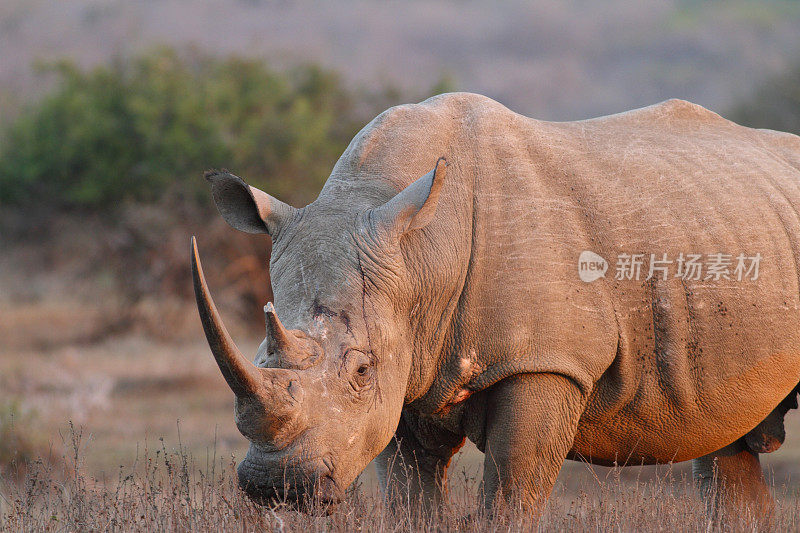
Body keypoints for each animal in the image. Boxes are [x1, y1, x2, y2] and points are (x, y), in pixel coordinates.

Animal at [192, 92, 800, 516]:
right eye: (261, 357)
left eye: (362, 370)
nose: (274, 487)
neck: (422, 252)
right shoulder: (404, 373)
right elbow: (411, 503)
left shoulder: (543, 363)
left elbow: (510, 499)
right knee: (729, 447)